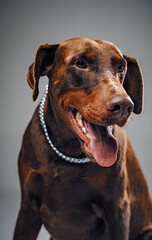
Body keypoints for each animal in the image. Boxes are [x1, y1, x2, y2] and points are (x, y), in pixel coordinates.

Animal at [13, 38, 152, 240]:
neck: (69, 152)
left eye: (121, 67)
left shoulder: (117, 208)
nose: (125, 105)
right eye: (80, 63)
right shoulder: (28, 209)